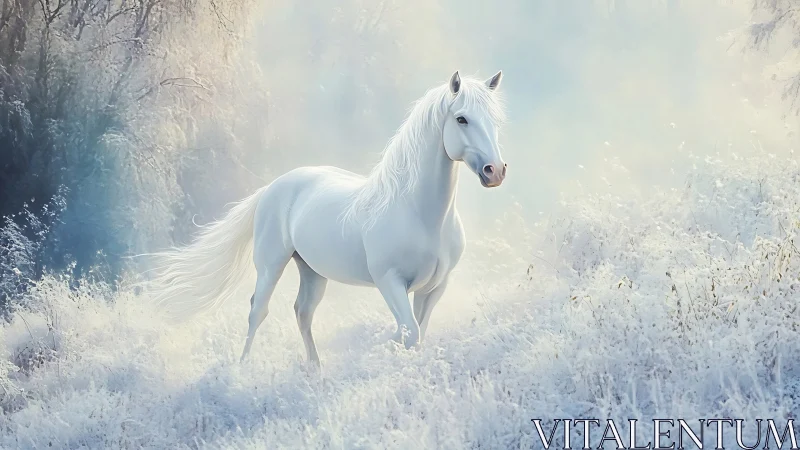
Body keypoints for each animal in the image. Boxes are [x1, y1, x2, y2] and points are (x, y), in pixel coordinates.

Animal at [147, 70, 508, 366]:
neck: (419, 214)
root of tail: (272, 188)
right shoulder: (389, 281)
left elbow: (417, 333)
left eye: (495, 120)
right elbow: (408, 331)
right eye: (461, 119)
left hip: (312, 271)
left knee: (303, 312)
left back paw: (315, 370)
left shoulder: (434, 286)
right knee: (257, 310)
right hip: (271, 264)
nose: (495, 171)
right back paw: (241, 370)